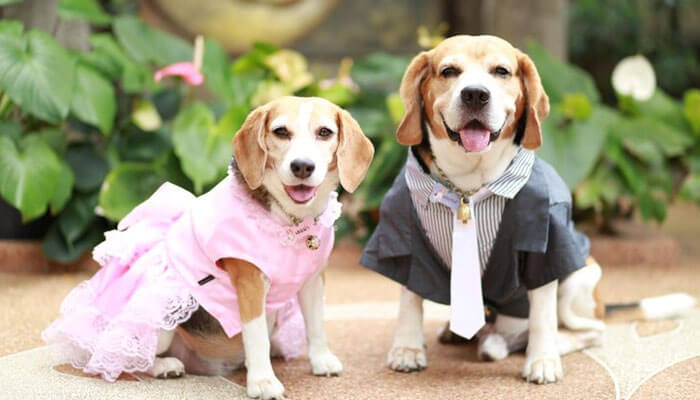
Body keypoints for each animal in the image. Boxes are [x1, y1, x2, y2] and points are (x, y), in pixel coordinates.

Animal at [360, 34, 696, 384]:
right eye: (449, 71)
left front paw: (543, 360)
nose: (475, 94)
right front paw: (407, 348)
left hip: (580, 277)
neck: (468, 186)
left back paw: (526, 344)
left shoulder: (544, 245)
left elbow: (543, 317)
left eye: (501, 71)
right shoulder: (404, 242)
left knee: (589, 331)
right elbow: (410, 300)